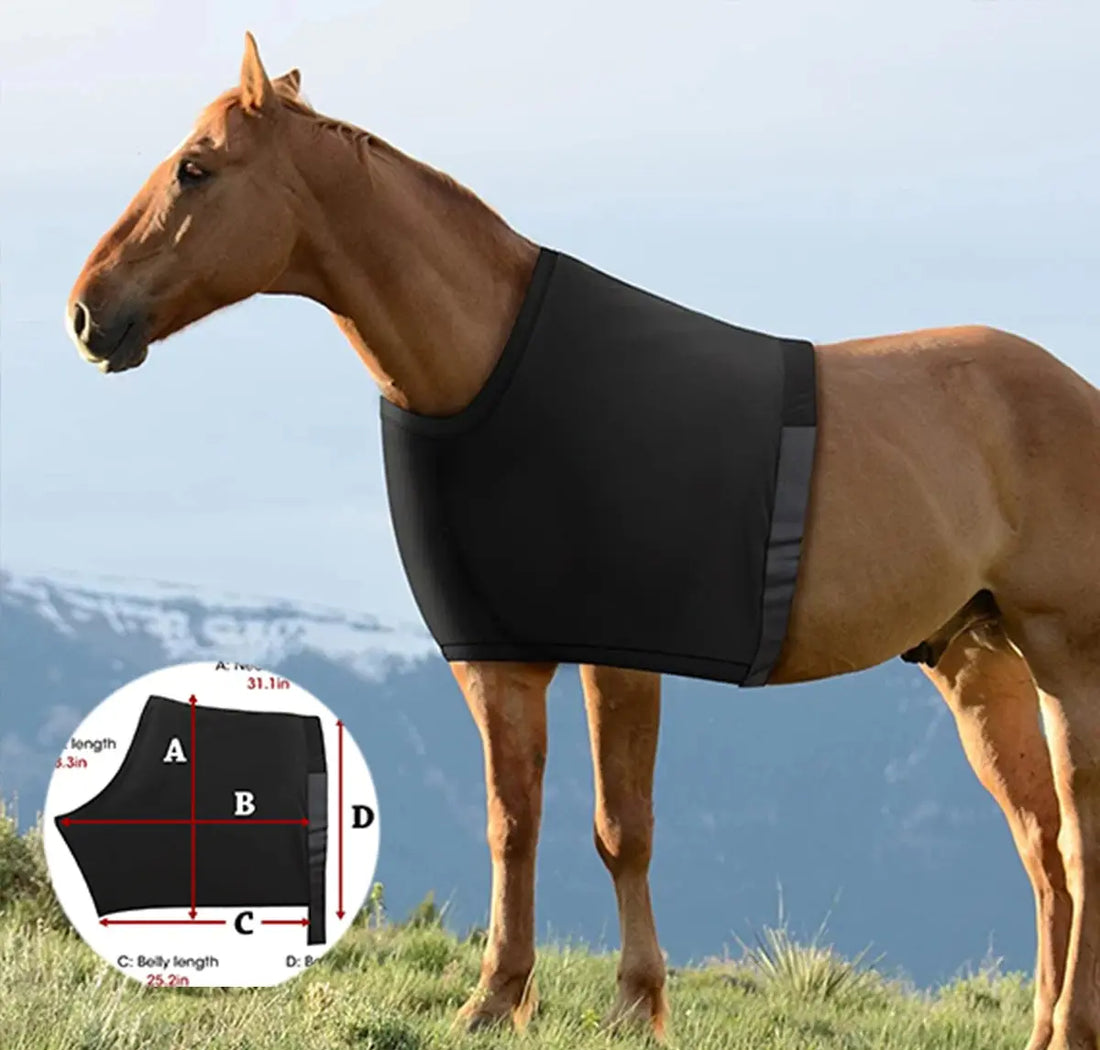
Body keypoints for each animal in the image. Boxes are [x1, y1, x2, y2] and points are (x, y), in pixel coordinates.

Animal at [66, 34, 1100, 1050]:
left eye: (195, 169)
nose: (86, 312)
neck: (493, 370)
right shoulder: (497, 658)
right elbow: (511, 822)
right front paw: (495, 998)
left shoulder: (620, 656)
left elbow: (621, 827)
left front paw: (637, 1005)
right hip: (977, 662)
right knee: (1042, 850)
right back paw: (1044, 1030)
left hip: (1064, 657)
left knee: (1078, 835)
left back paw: (1072, 1025)